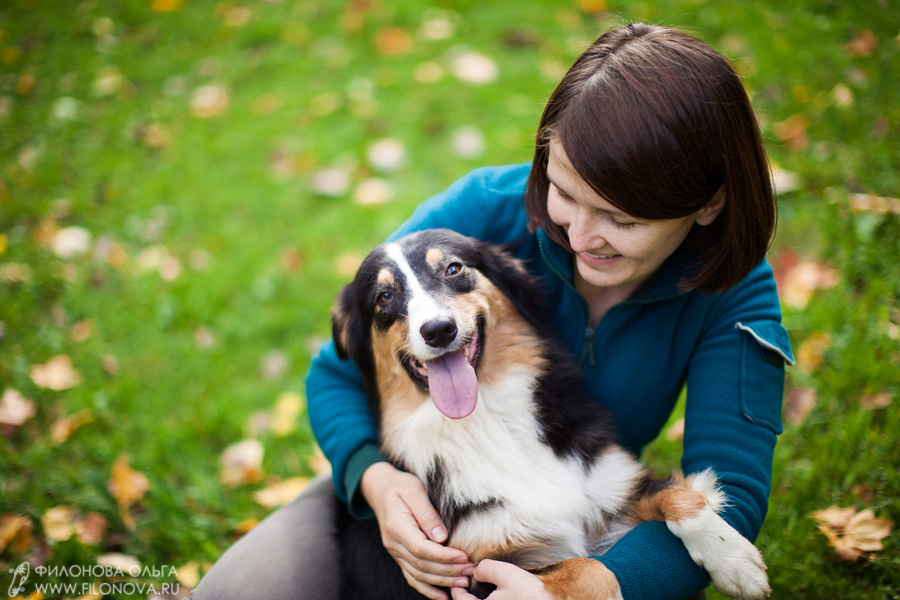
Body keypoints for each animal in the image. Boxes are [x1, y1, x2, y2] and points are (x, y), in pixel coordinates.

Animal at [328, 230, 768, 600]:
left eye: (453, 269)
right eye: (384, 296)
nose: (438, 329)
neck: (490, 418)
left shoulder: (611, 481)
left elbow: (676, 495)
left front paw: (735, 561)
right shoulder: (479, 573)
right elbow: (584, 567)